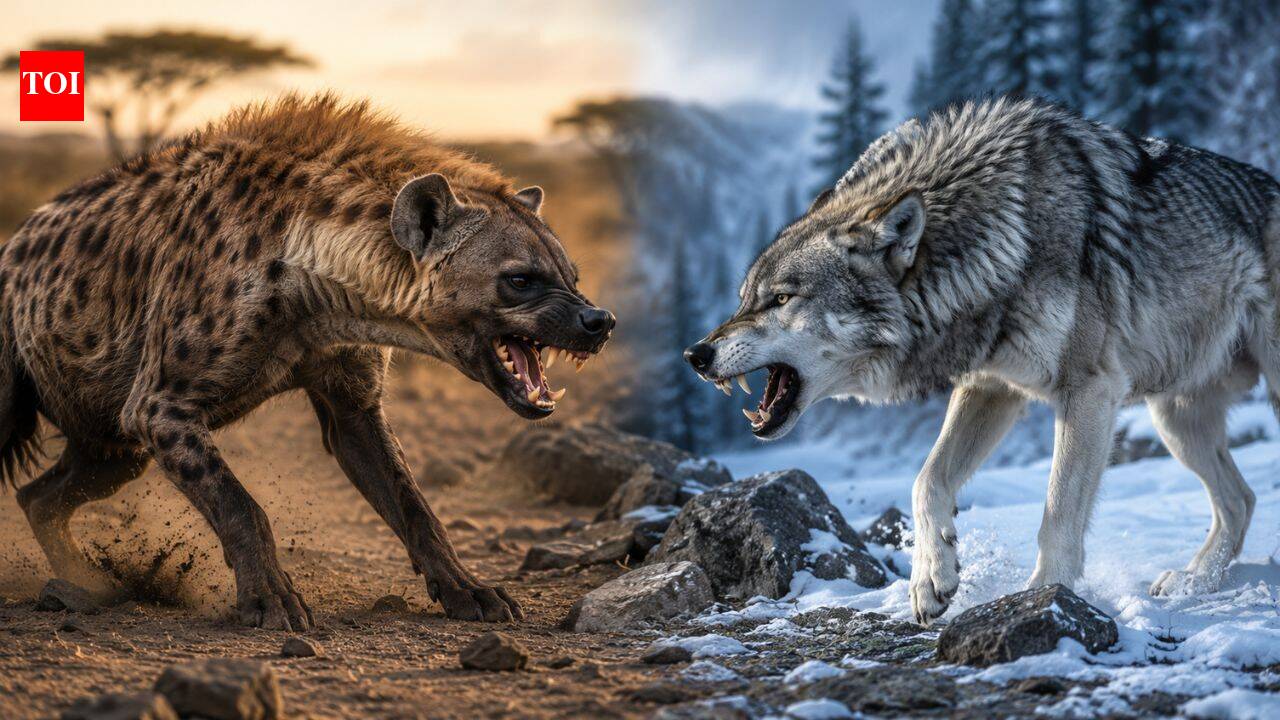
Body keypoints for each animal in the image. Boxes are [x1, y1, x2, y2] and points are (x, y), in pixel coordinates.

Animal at [0, 94, 613, 629]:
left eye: (572, 276)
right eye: (520, 279)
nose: (600, 321)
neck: (313, 293)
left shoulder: (352, 400)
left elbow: (413, 502)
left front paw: (472, 592)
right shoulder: (159, 407)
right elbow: (240, 505)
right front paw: (271, 602)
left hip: (111, 440)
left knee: (41, 495)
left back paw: (88, 580)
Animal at [686, 96, 1280, 625]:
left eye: (780, 300)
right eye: (744, 300)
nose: (695, 354)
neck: (998, 236)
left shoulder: (1089, 391)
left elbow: (1058, 511)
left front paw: (1046, 595)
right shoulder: (991, 386)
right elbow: (926, 480)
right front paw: (932, 577)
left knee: (1241, 498)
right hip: (1174, 420)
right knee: (1242, 500)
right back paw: (1192, 581)